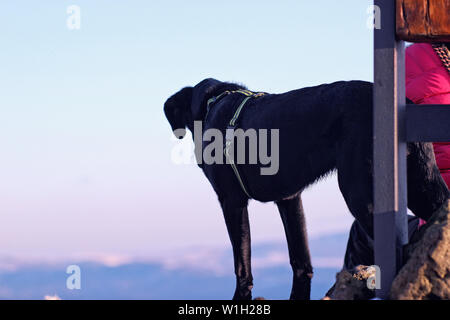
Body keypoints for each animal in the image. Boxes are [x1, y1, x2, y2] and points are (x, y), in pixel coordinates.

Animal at [163, 77, 448, 300]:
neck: (214, 102)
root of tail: (404, 106)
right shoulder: (290, 199)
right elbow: (300, 259)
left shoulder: (231, 201)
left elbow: (241, 262)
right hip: (422, 184)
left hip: (359, 192)